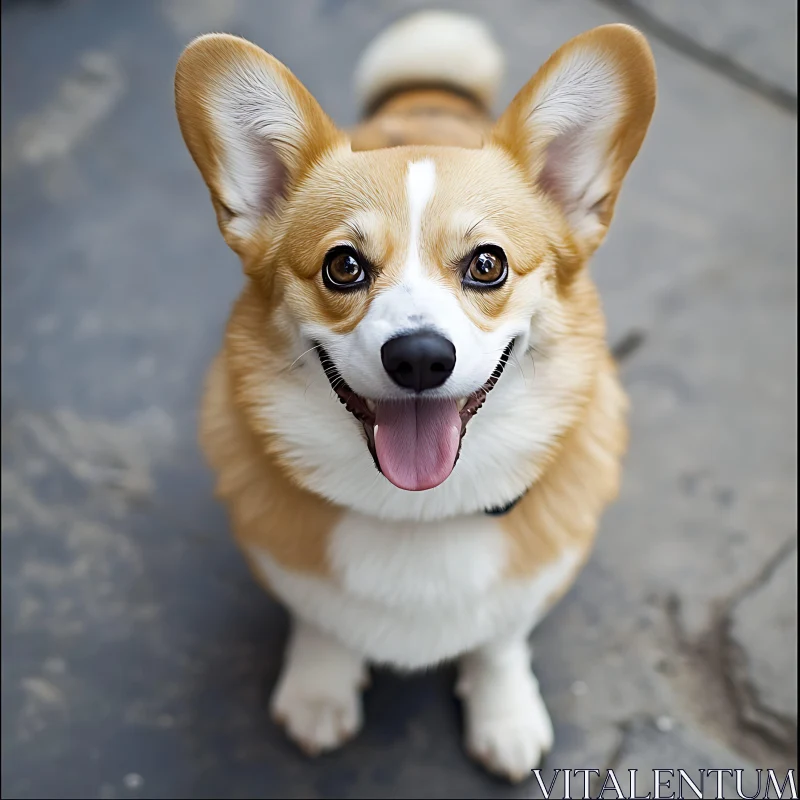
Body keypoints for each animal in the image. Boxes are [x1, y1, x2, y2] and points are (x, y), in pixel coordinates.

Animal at [175, 7, 656, 780]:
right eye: (343, 267)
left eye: (488, 264)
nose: (422, 358)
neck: (417, 515)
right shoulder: (282, 561)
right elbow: (319, 619)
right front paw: (318, 690)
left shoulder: (536, 580)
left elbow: (500, 641)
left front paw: (505, 715)